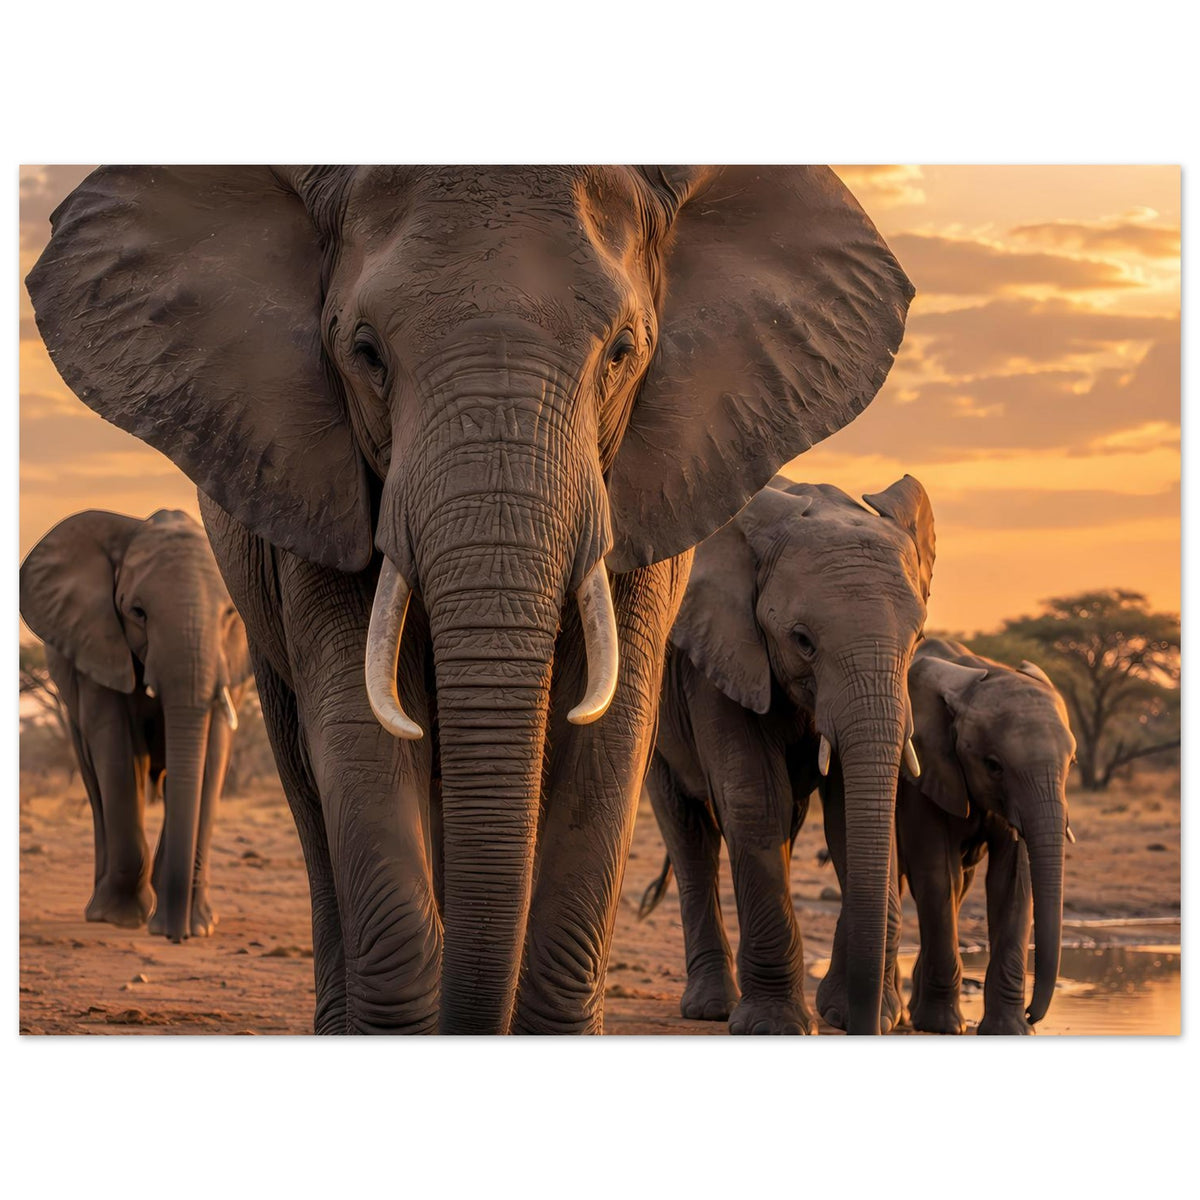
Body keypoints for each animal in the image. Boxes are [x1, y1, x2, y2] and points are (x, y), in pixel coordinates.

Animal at [19, 508, 250, 941]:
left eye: (231, 614)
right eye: (137, 612)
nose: (176, 935)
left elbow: (212, 752)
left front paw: (201, 926)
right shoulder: (96, 643)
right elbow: (116, 748)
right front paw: (122, 918)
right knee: (96, 778)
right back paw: (99, 909)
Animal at [640, 475, 934, 1033]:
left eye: (919, 638)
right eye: (802, 641)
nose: (868, 1025)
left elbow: (848, 813)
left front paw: (856, 1013)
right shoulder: (719, 654)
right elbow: (754, 799)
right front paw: (772, 1027)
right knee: (688, 832)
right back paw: (711, 1008)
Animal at [890, 638, 1075, 1034]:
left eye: (1071, 764)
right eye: (994, 766)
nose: (1033, 1013)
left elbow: (1013, 882)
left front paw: (1012, 1029)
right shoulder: (922, 774)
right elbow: (936, 875)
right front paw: (942, 1026)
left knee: (962, 884)